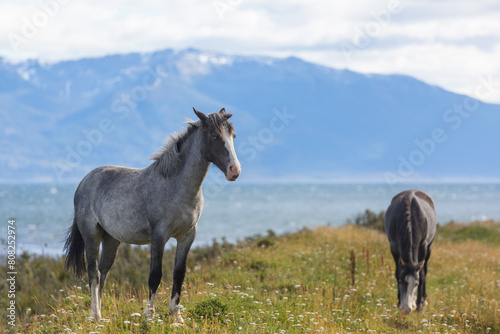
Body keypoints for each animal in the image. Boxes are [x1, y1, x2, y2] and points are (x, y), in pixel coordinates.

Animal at [64, 108, 240, 322]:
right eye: (215, 136)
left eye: (233, 136)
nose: (234, 170)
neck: (175, 186)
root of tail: (84, 181)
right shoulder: (159, 236)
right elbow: (155, 275)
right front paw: (149, 315)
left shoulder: (187, 236)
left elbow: (179, 273)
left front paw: (176, 316)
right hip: (91, 234)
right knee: (93, 274)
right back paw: (96, 316)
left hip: (111, 239)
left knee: (103, 272)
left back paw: (100, 316)